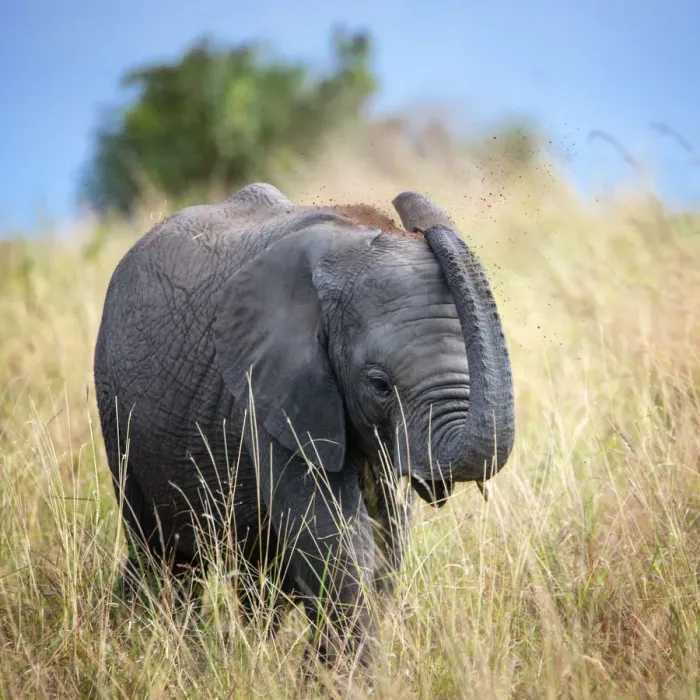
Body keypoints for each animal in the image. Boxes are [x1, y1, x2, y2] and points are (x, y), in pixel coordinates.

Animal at [93, 183, 515, 670]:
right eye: (380, 385)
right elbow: (334, 536)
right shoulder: (268, 387)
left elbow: (386, 540)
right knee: (165, 553)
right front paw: (345, 678)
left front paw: (319, 673)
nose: (405, 208)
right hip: (119, 415)